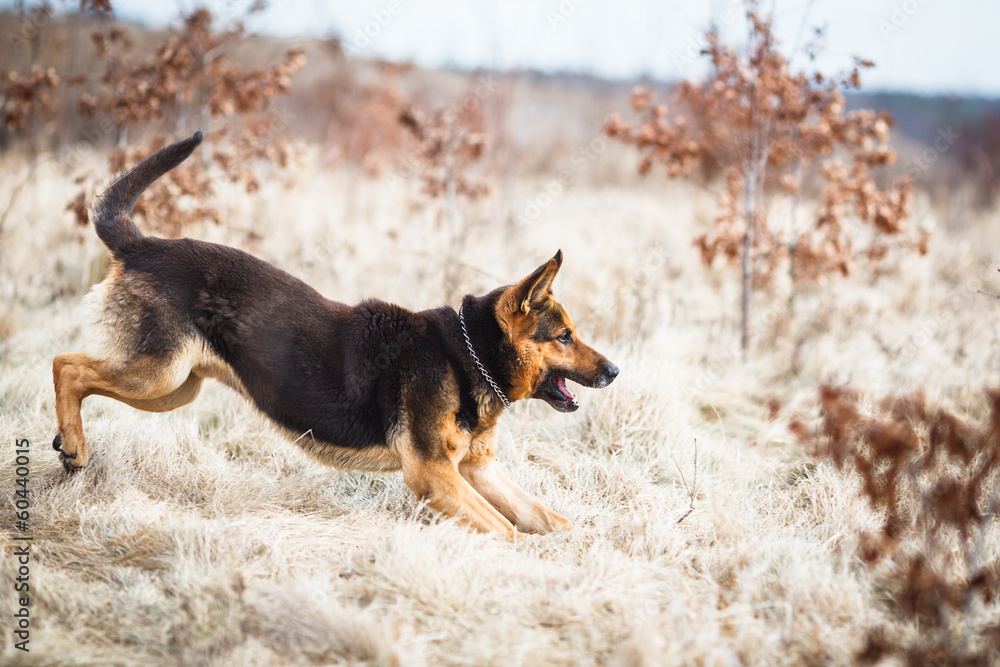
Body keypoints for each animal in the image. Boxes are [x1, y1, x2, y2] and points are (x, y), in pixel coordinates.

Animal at [52, 131, 619, 538]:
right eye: (565, 336)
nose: (615, 371)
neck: (467, 353)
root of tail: (142, 245)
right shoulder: (434, 476)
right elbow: (508, 531)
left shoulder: (479, 472)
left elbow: (546, 517)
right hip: (159, 376)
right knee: (66, 364)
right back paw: (74, 444)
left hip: (175, 389)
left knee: (75, 368)